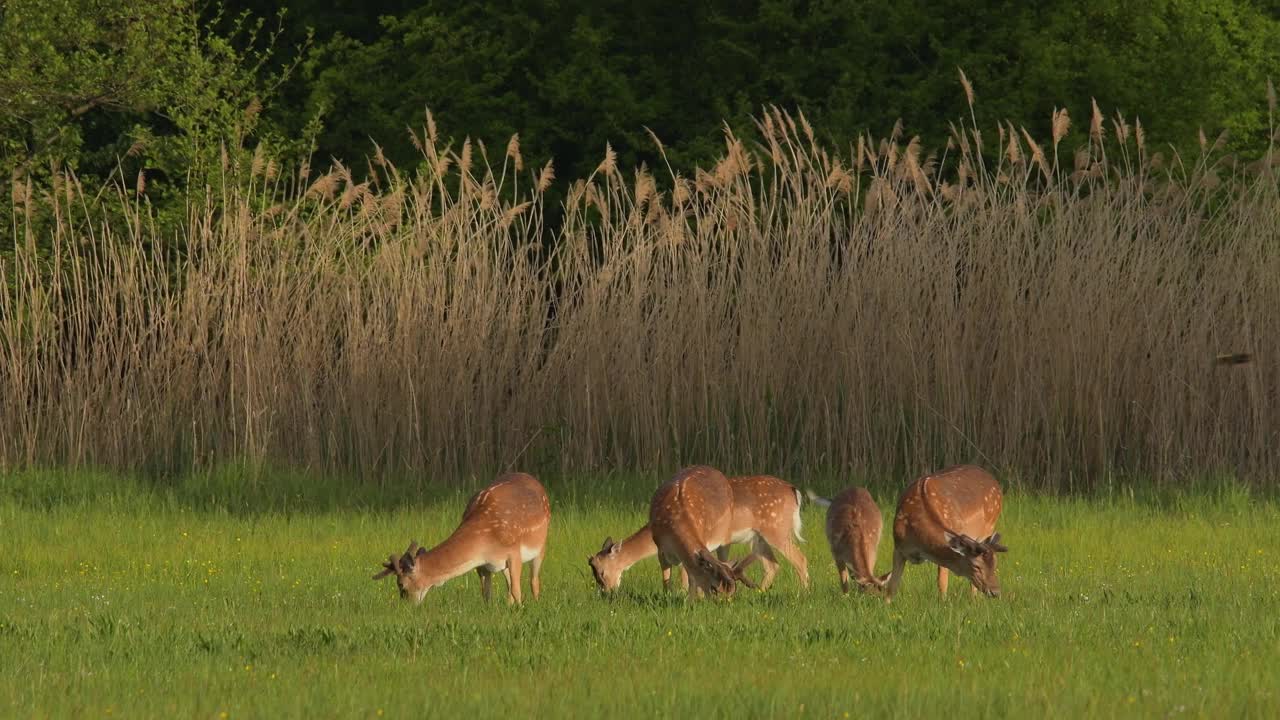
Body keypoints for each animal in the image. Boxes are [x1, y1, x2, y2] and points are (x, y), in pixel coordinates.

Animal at [373, 468, 547, 602]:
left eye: (401, 584)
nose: (407, 604)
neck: (485, 541)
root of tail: (534, 479)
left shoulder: (514, 553)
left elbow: (517, 591)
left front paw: (521, 610)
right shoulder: (482, 564)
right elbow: (487, 595)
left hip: (541, 544)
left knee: (534, 581)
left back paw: (536, 602)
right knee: (510, 586)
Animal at [586, 471, 803, 589]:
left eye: (603, 572)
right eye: (593, 571)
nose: (607, 592)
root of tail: (795, 491)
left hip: (778, 529)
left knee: (800, 560)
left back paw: (803, 593)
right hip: (759, 538)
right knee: (773, 565)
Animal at [650, 461, 757, 597]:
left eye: (731, 593)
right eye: (714, 589)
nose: (725, 601)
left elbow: (691, 577)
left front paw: (695, 598)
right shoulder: (660, 547)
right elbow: (666, 577)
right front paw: (668, 596)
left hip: (725, 537)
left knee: (723, 559)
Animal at [880, 461, 1008, 597]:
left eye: (995, 564)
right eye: (976, 566)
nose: (995, 591)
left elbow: (942, 583)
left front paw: (943, 601)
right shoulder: (898, 547)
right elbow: (891, 587)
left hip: (990, 526)